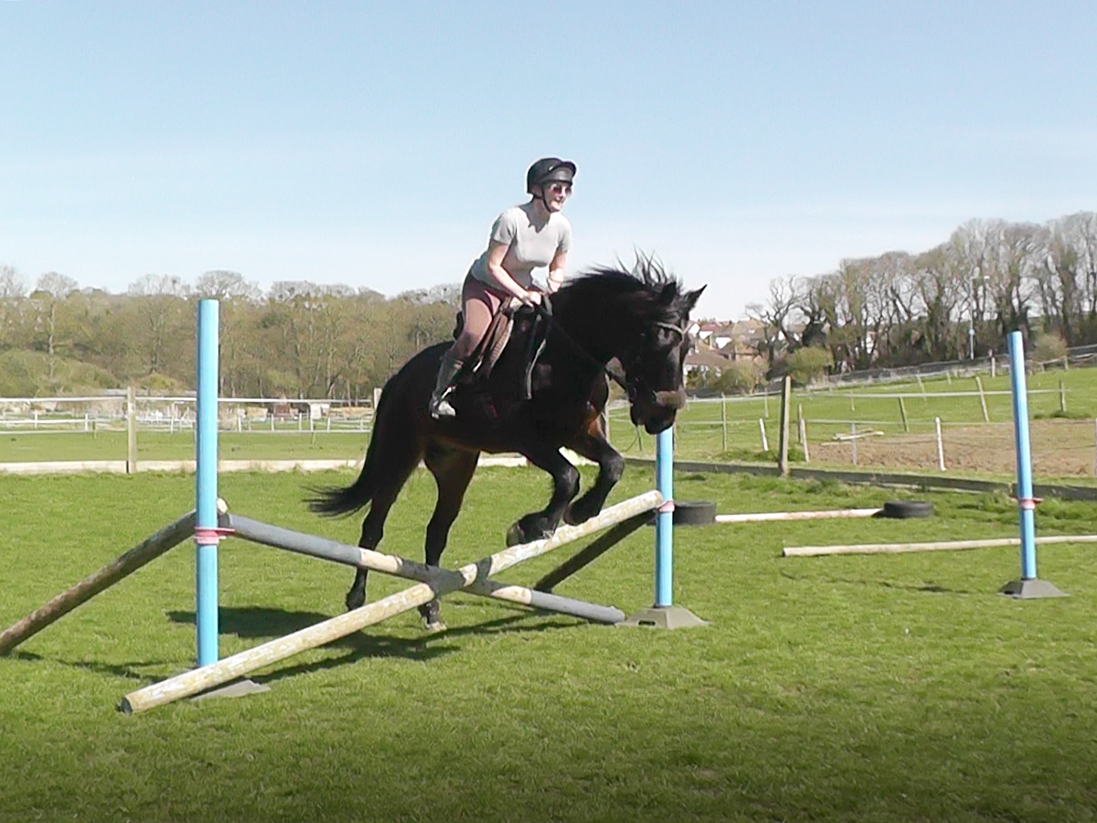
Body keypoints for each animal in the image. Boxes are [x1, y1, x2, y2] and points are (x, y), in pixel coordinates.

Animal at [308, 258, 704, 631]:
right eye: (657, 340)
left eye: (687, 345)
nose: (664, 415)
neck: (564, 357)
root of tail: (398, 377)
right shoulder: (526, 439)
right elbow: (568, 477)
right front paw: (532, 527)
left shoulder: (578, 434)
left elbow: (613, 466)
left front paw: (579, 513)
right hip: (399, 454)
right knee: (373, 528)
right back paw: (356, 600)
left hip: (456, 465)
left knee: (436, 533)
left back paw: (432, 609)